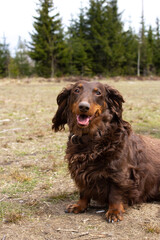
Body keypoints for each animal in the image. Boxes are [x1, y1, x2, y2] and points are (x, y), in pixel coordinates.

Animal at [52, 81, 160, 223]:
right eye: (76, 90)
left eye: (98, 93)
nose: (83, 107)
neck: (91, 139)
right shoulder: (82, 170)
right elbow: (83, 191)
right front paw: (79, 206)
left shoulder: (119, 173)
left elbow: (115, 194)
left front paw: (114, 212)